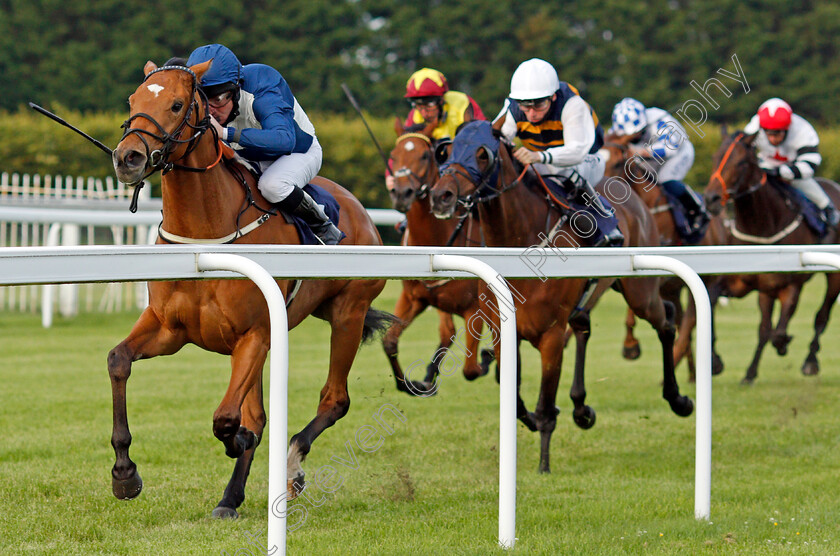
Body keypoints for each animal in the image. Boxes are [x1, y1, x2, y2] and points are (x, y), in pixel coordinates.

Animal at [107, 60, 390, 516]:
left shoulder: (252, 335)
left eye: (177, 104)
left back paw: (290, 465)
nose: (127, 158)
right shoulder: (170, 329)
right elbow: (118, 361)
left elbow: (227, 418)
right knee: (262, 413)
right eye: (133, 100)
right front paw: (124, 473)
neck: (205, 237)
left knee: (335, 399)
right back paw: (231, 496)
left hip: (349, 311)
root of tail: (359, 209)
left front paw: (239, 441)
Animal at [382, 124, 492, 394]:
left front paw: (487, 357)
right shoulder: (414, 298)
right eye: (394, 155)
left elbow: (471, 368)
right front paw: (409, 384)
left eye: (424, 155)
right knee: (446, 331)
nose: (401, 193)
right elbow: (389, 340)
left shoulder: (474, 309)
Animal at [430, 120, 692, 474]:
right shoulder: (503, 330)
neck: (521, 247)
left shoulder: (551, 335)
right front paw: (533, 417)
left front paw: (544, 464)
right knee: (584, 325)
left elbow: (544, 404)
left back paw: (678, 400)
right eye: (448, 149)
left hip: (639, 292)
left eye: (483, 153)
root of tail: (636, 201)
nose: (441, 195)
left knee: (665, 321)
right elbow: (510, 391)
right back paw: (581, 408)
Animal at [600, 132, 732, 380]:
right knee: (681, 320)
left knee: (693, 318)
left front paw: (631, 346)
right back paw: (691, 369)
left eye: (617, 163)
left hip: (706, 279)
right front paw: (630, 344)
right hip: (673, 287)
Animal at [704, 129, 840, 384]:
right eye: (715, 157)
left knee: (822, 316)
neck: (763, 227)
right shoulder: (741, 283)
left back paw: (810, 361)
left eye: (742, 163)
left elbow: (778, 332)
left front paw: (784, 344)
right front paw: (720, 363)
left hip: (832, 279)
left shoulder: (790, 286)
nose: (711, 199)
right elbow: (714, 304)